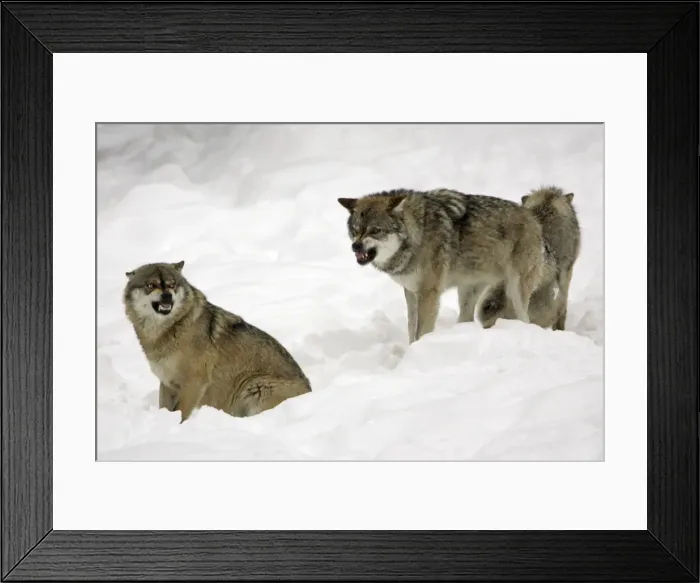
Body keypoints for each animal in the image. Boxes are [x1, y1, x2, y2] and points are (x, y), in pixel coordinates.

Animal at [123, 260, 311, 423]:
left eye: (171, 284)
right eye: (150, 285)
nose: (167, 296)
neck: (167, 330)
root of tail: (310, 391)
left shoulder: (195, 383)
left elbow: (181, 413)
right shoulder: (167, 383)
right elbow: (165, 409)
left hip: (254, 386)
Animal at [337, 188, 547, 343]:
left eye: (375, 230)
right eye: (355, 230)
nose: (355, 246)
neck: (418, 234)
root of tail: (532, 216)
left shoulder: (429, 293)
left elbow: (421, 331)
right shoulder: (411, 292)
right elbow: (411, 329)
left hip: (516, 292)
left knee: (526, 319)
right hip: (467, 293)